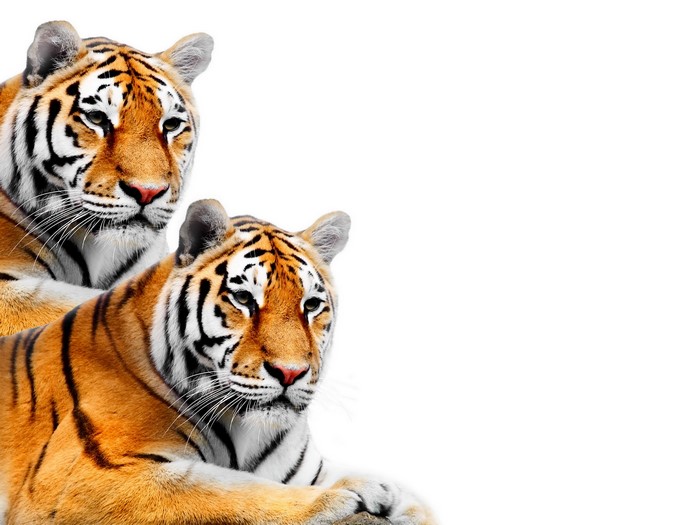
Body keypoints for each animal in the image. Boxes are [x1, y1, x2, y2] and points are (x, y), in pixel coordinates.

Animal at [0, 199, 436, 524]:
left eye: (311, 305)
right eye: (243, 299)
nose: (290, 373)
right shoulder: (89, 476)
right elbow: (231, 490)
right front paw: (350, 492)